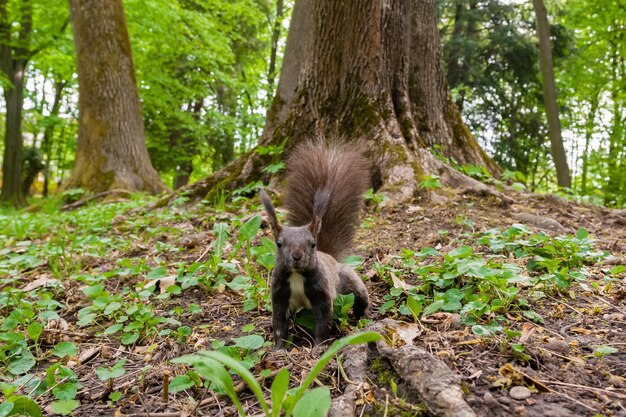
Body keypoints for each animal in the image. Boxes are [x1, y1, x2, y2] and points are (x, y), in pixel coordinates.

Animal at [260, 140, 370, 348]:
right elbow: (279, 325)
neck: (296, 276)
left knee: (361, 298)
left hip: (350, 282)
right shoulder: (279, 296)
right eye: (279, 244)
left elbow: (322, 323)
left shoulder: (322, 295)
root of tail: (330, 257)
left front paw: (319, 347)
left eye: (312, 244)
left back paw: (362, 316)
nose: (297, 256)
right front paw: (278, 349)